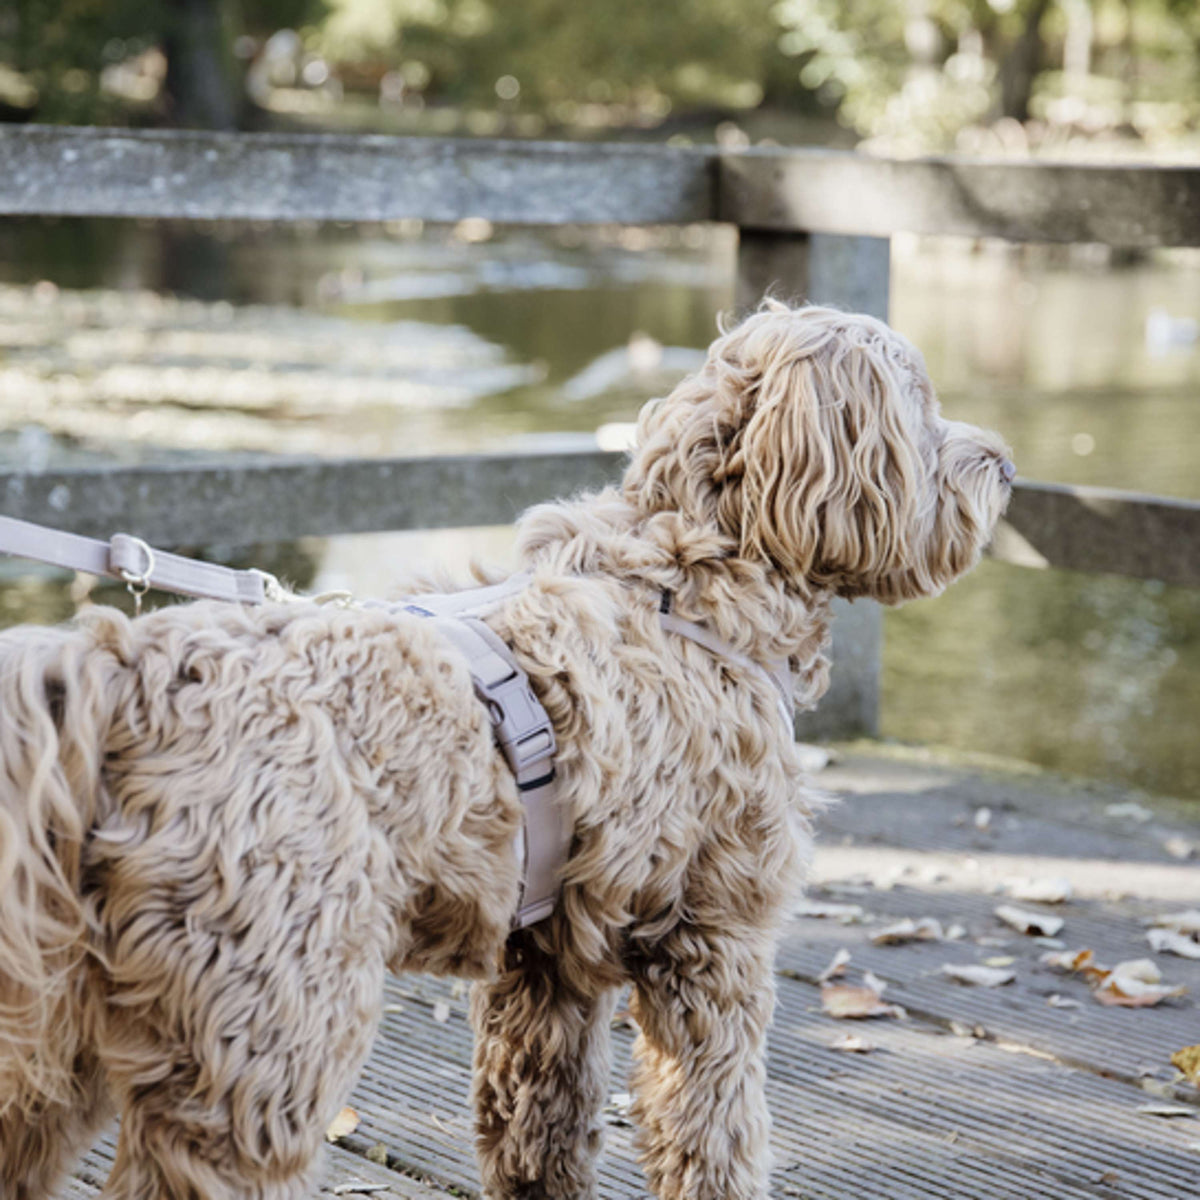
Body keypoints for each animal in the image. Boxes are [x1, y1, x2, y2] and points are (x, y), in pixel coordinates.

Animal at [0, 302, 1012, 1200]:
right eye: (920, 406)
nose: (1004, 464)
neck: (687, 586)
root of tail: (120, 668)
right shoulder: (713, 943)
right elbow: (711, 1131)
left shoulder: (545, 965)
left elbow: (538, 1129)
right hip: (263, 1034)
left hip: (58, 1035)